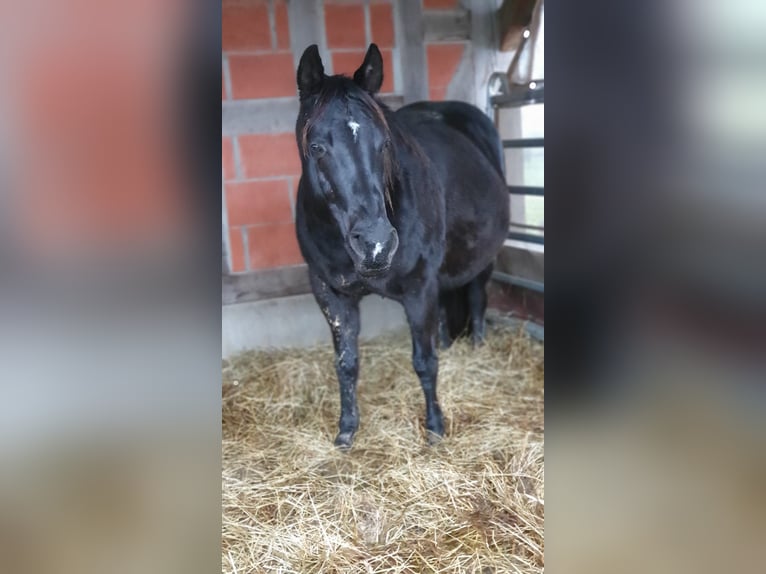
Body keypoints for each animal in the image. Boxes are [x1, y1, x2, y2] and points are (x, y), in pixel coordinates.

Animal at [294, 44, 510, 448]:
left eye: (385, 143)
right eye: (316, 147)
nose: (376, 244)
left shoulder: (418, 289)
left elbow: (424, 362)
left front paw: (435, 427)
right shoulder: (331, 294)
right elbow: (346, 363)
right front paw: (346, 430)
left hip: (483, 262)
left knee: (476, 299)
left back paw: (477, 347)